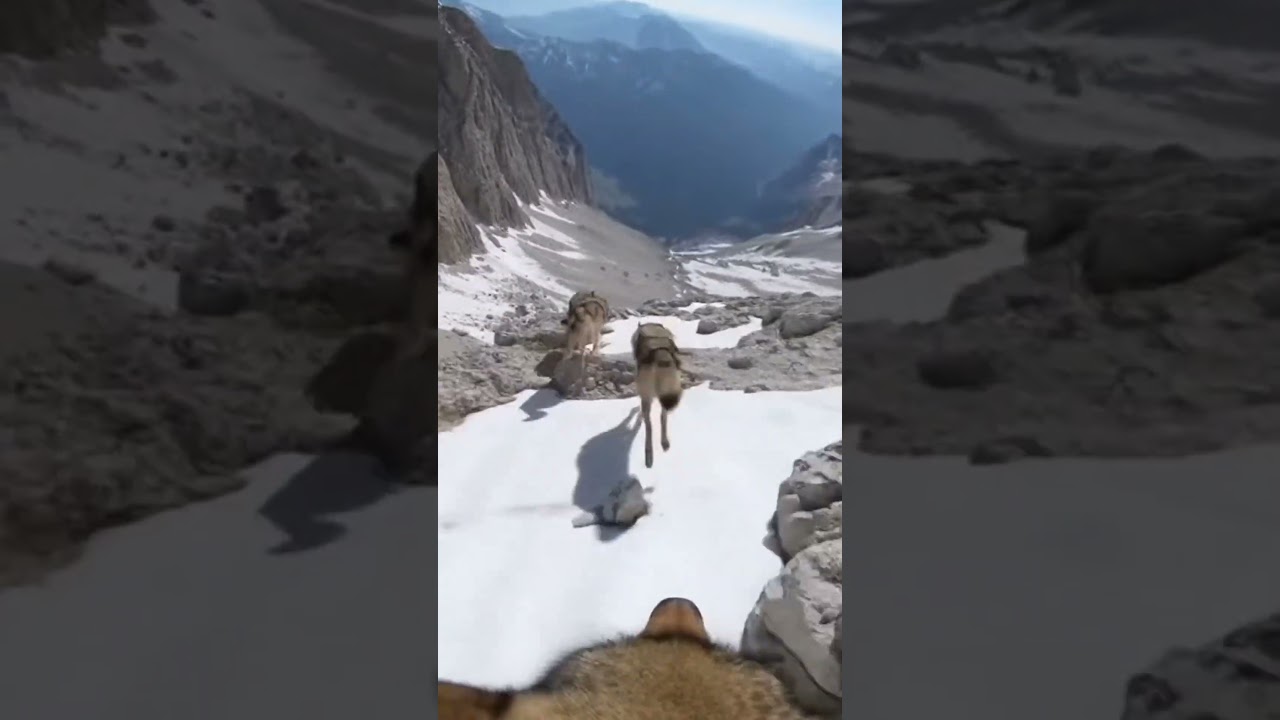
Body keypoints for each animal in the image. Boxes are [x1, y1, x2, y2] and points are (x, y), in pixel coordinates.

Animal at [631, 322, 682, 469]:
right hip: (665, 394)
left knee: (649, 425)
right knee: (663, 417)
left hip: (647, 396)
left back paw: (649, 453)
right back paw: (664, 442)